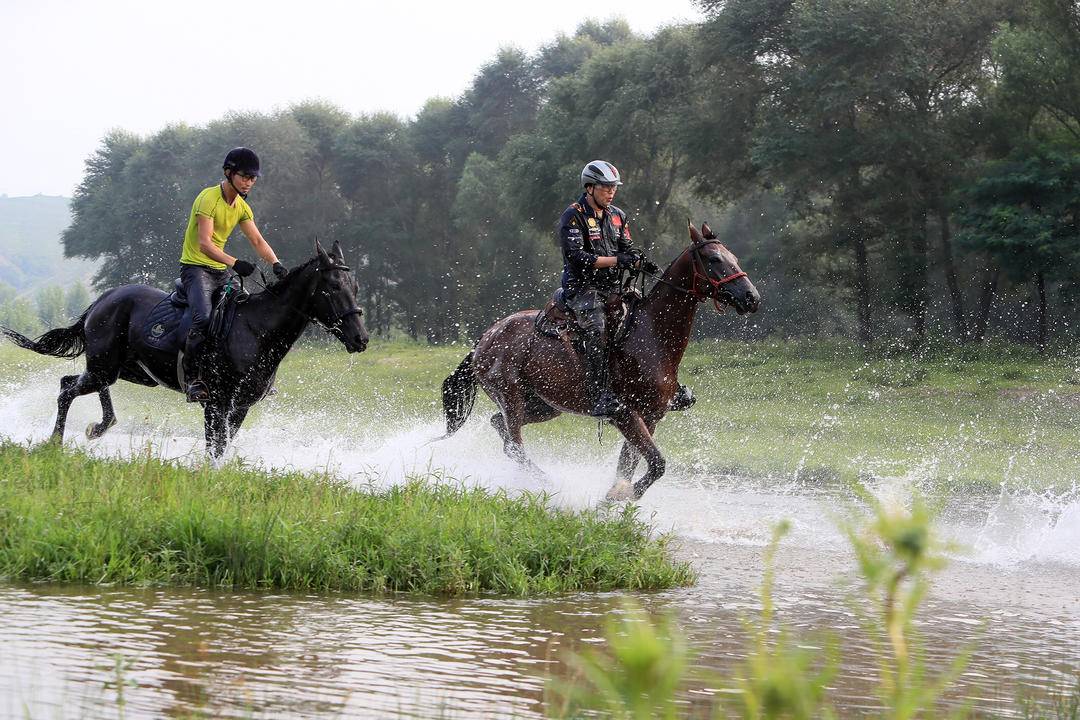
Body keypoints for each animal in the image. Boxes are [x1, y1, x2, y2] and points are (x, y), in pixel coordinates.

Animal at [2, 240, 369, 455]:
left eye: (355, 285)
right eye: (333, 286)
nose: (361, 339)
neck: (257, 330)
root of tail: (102, 301)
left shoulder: (239, 408)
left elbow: (222, 447)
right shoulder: (216, 403)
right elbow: (213, 448)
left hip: (127, 370)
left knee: (82, 384)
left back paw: (100, 426)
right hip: (106, 366)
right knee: (67, 388)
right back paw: (55, 442)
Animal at [438, 223, 760, 500]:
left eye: (733, 257)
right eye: (714, 259)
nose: (751, 297)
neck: (651, 336)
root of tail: (484, 338)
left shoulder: (650, 417)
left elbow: (629, 466)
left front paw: (612, 500)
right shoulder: (626, 414)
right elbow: (657, 463)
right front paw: (620, 495)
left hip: (545, 405)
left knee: (500, 427)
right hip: (511, 397)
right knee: (515, 445)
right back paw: (547, 482)